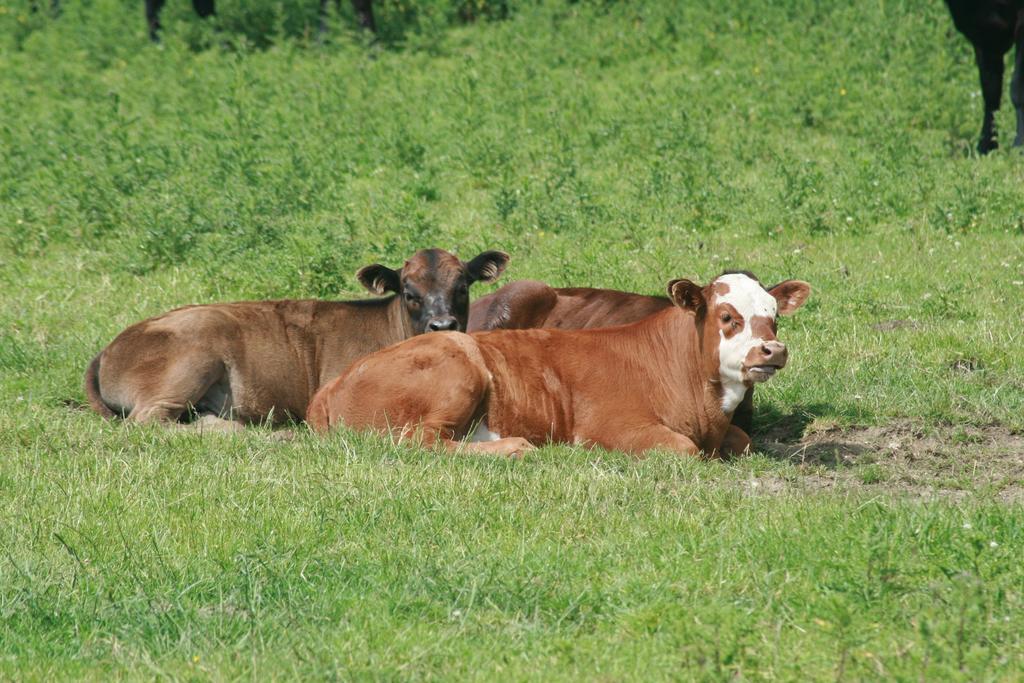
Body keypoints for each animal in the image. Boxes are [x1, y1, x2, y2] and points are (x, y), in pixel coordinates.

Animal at [83, 248, 507, 430]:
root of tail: (109, 347)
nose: (442, 324)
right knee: (148, 421)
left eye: (463, 287)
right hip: (194, 357)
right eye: (409, 292)